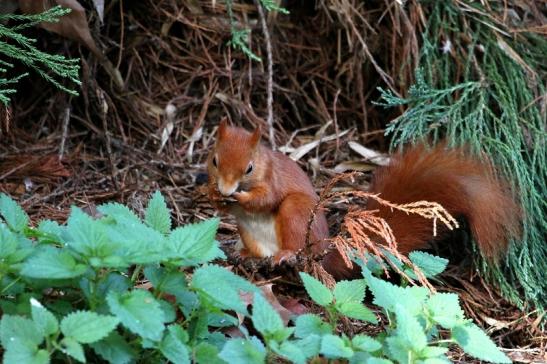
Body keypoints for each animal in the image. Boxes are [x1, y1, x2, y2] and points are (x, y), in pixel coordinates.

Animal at [208, 121, 520, 278]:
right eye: (214, 160)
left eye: (249, 167)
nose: (226, 189)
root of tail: (322, 252)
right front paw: (214, 196)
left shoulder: (272, 180)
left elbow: (265, 199)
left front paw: (241, 197)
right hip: (249, 232)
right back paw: (247, 254)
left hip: (296, 213)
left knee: (296, 244)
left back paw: (285, 253)